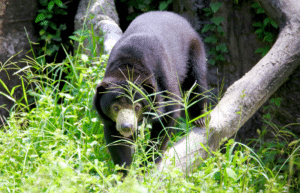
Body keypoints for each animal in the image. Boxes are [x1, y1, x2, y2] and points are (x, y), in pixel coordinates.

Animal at [94, 10, 206, 173]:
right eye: (115, 108)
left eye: (137, 107)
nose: (126, 127)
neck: (129, 64)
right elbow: (115, 137)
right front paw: (125, 172)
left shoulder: (163, 78)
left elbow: (167, 116)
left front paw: (147, 162)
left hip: (194, 49)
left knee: (197, 79)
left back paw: (200, 118)